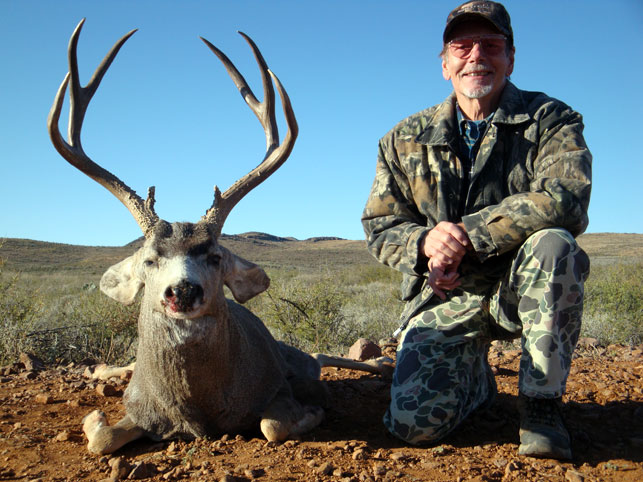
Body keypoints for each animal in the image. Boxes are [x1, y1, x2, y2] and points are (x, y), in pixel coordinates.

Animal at [47, 19, 392, 456]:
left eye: (214, 256)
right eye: (149, 259)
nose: (182, 290)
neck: (200, 409)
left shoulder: (275, 389)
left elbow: (271, 425)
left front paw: (312, 411)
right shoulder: (139, 406)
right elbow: (103, 438)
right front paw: (94, 416)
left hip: (294, 357)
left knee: (315, 354)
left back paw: (382, 363)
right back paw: (100, 368)